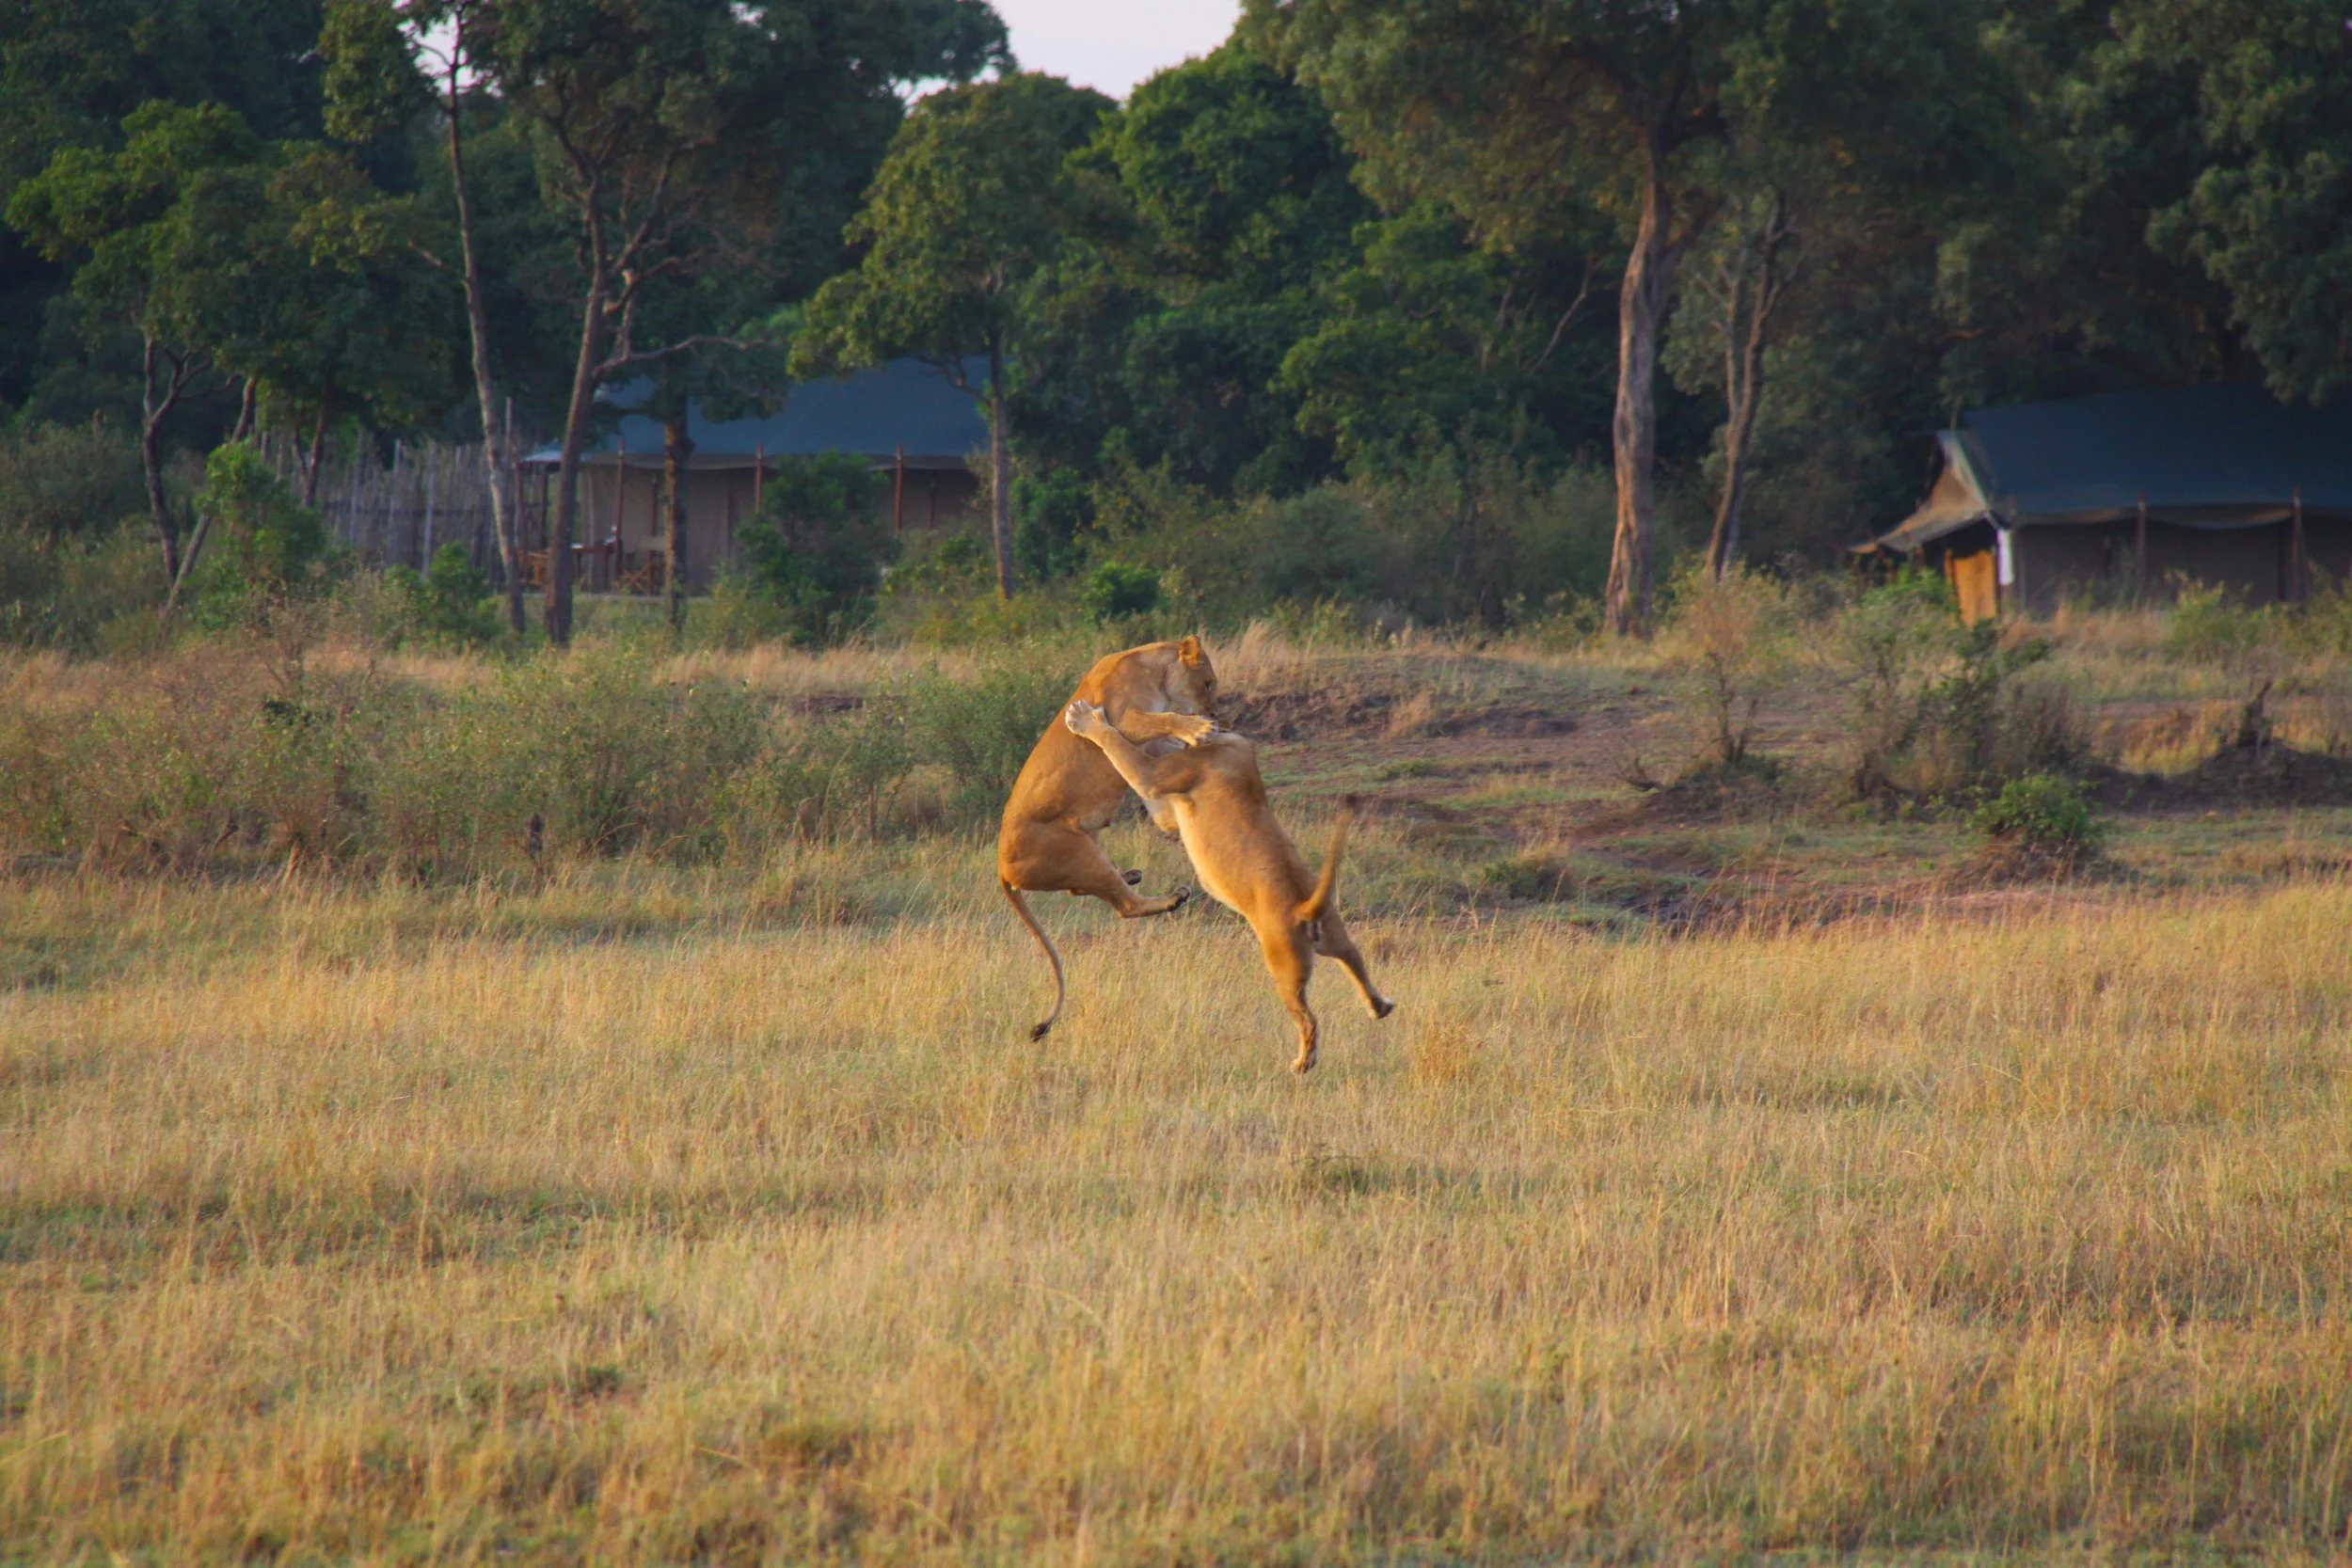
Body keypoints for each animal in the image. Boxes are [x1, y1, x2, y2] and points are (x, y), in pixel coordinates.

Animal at [998, 637, 1220, 1040]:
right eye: (1209, 682)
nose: (1214, 712)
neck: (1154, 669)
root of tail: (1000, 869)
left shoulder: (1150, 748)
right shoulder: (1127, 720)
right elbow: (1159, 721)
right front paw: (1197, 729)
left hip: (1089, 847)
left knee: (1088, 891)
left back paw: (1131, 875)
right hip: (1080, 852)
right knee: (1124, 906)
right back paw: (1171, 898)